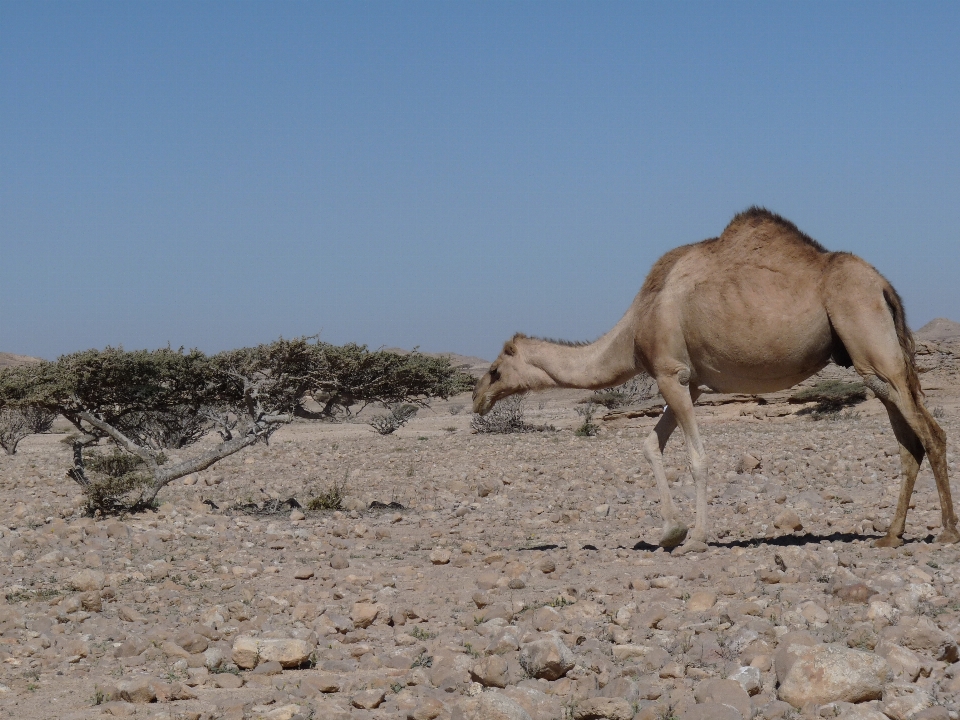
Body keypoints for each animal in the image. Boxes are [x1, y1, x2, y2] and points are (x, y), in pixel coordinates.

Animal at [474, 208, 960, 552]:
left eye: (496, 370)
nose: (478, 398)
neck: (634, 329)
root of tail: (883, 285)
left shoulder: (670, 372)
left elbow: (697, 458)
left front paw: (694, 538)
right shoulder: (688, 382)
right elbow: (649, 444)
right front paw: (669, 531)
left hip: (867, 335)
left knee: (930, 433)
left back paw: (947, 532)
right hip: (869, 359)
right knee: (908, 441)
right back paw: (890, 535)